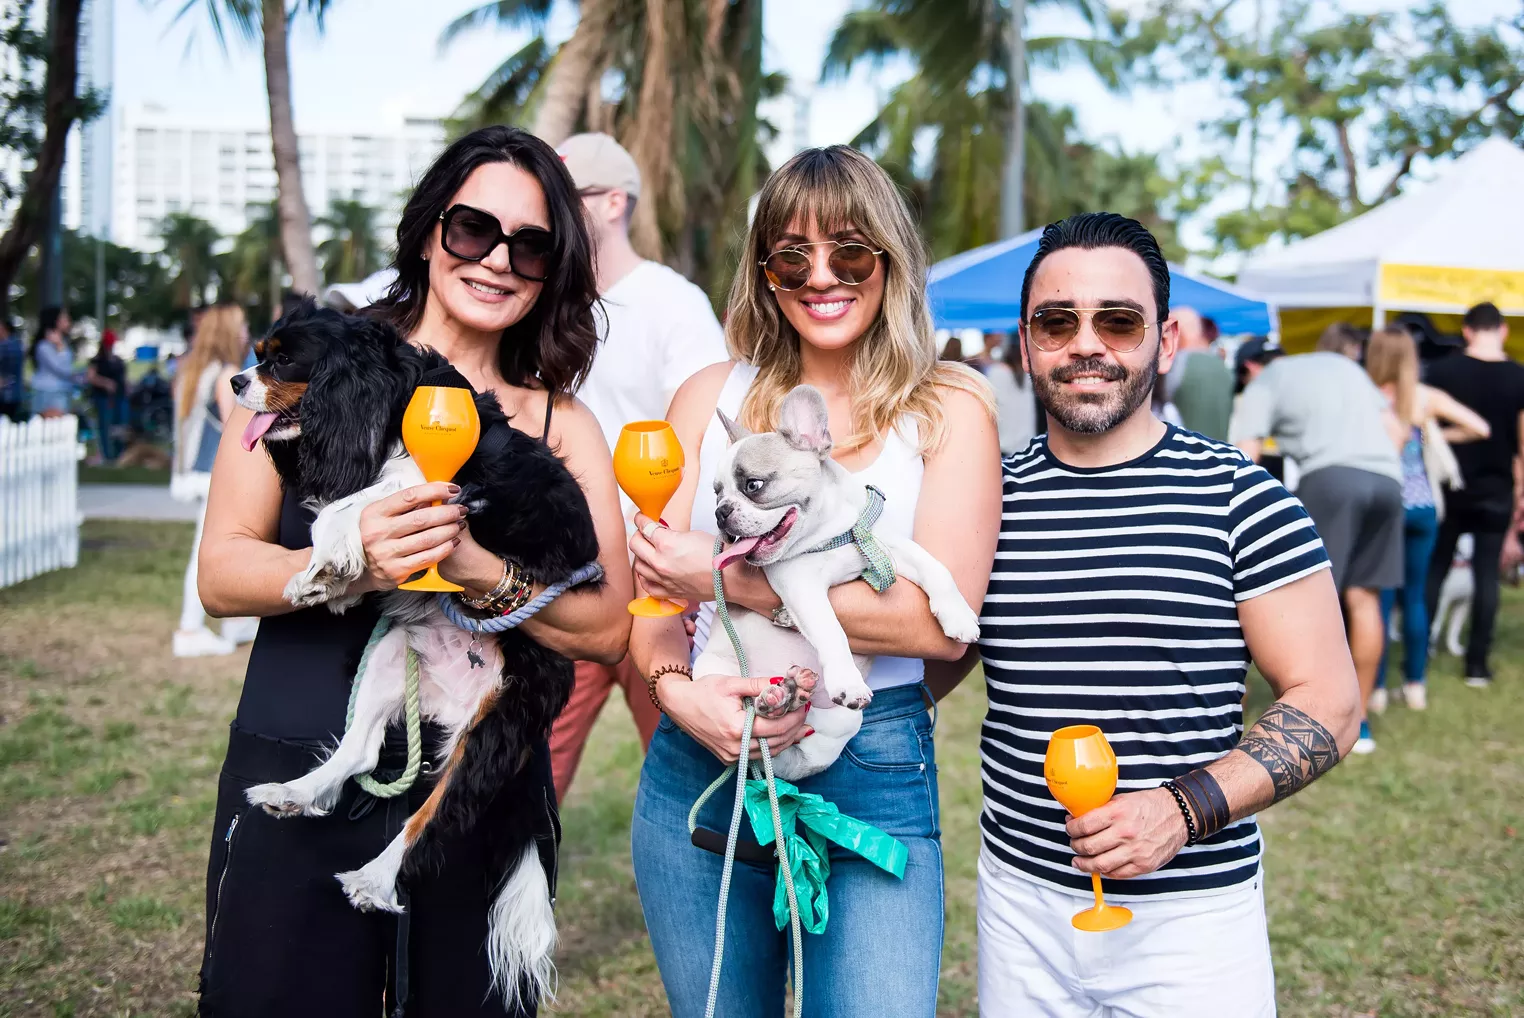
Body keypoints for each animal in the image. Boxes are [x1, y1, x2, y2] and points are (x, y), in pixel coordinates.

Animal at [698, 384, 980, 781]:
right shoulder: (799, 583)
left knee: (805, 739)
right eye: (716, 492)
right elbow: (832, 630)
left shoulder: (885, 546)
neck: (833, 533)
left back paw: (792, 695)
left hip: (846, 722)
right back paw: (776, 701)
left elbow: (934, 566)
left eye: (753, 485)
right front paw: (847, 681)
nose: (721, 512)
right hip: (711, 676)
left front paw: (957, 615)